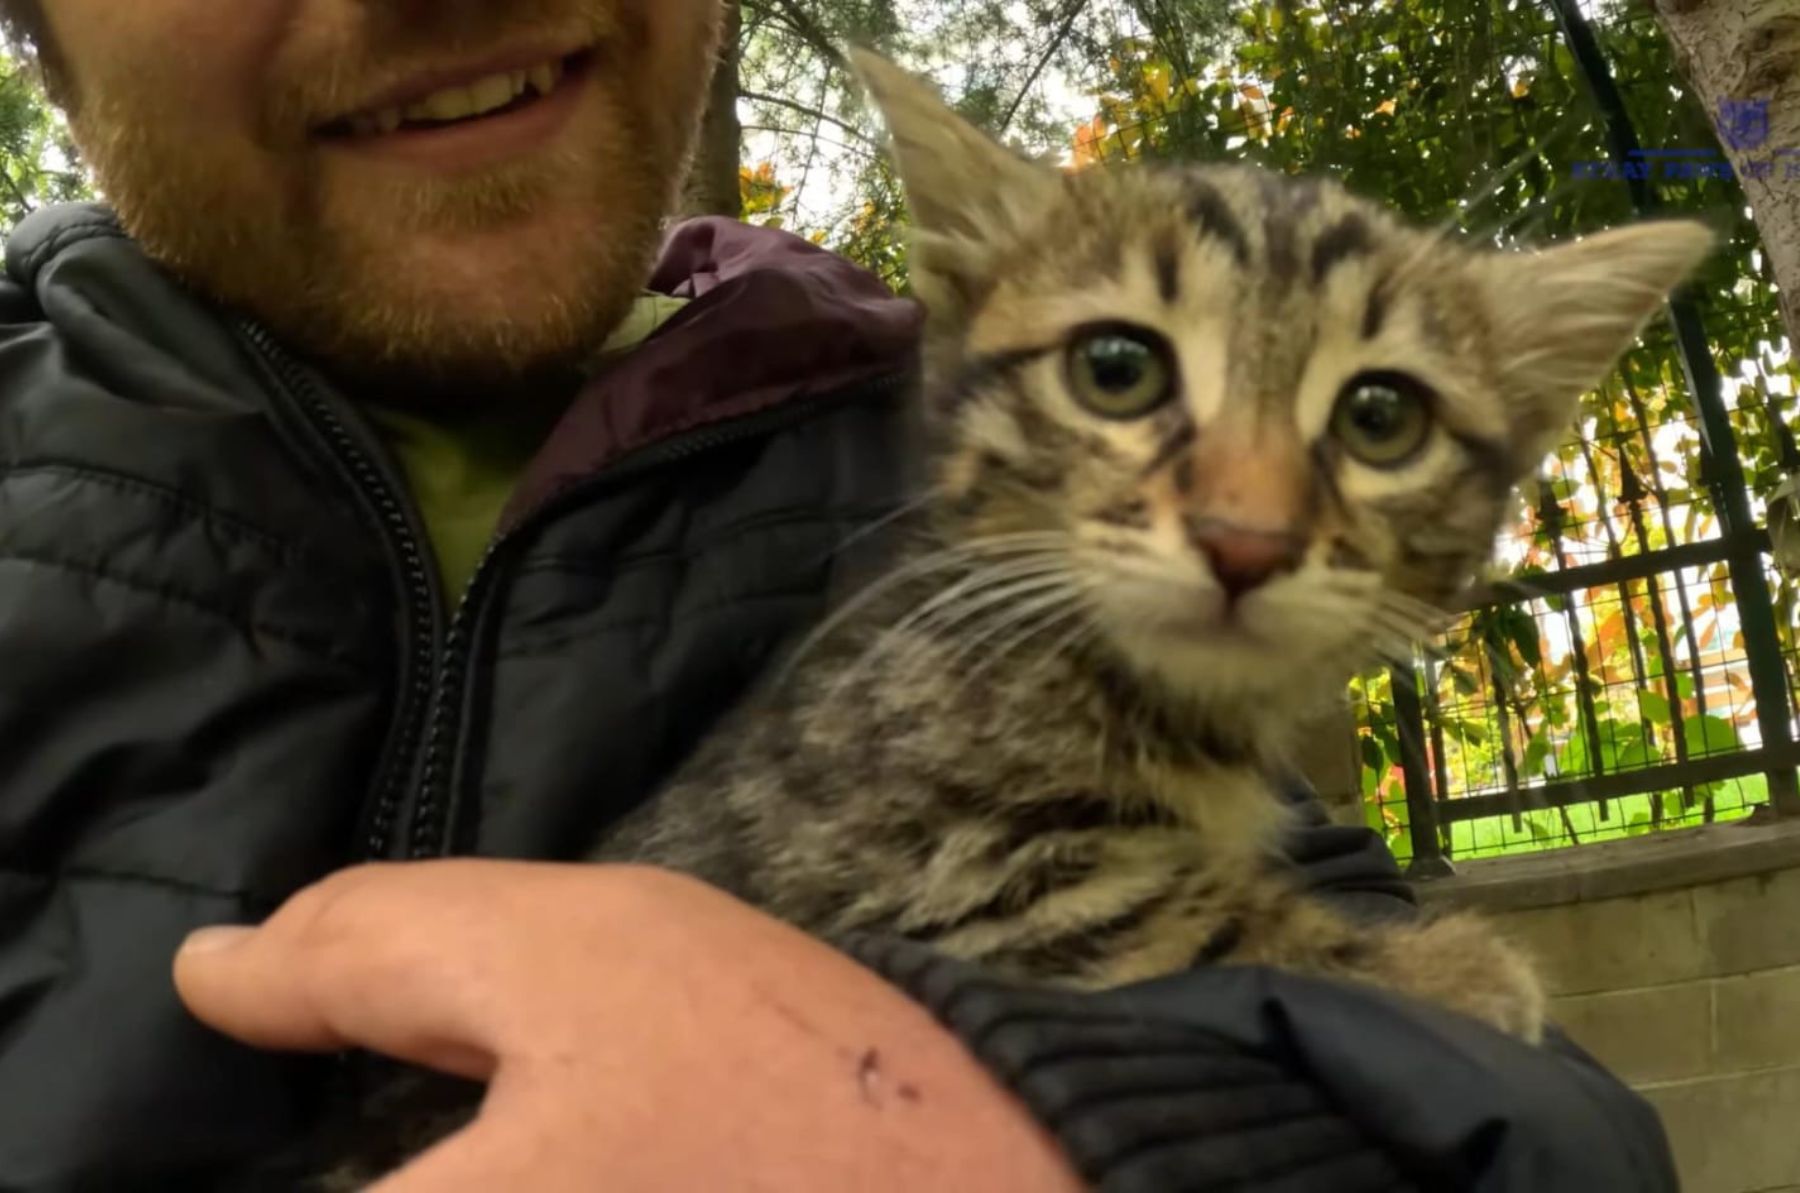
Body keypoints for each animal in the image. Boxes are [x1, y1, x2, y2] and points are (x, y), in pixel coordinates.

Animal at [309, 51, 1713, 1187]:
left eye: (1381, 418)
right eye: (1118, 369)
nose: (1246, 539)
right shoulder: (933, 886)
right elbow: (1188, 917)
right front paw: (1439, 967)